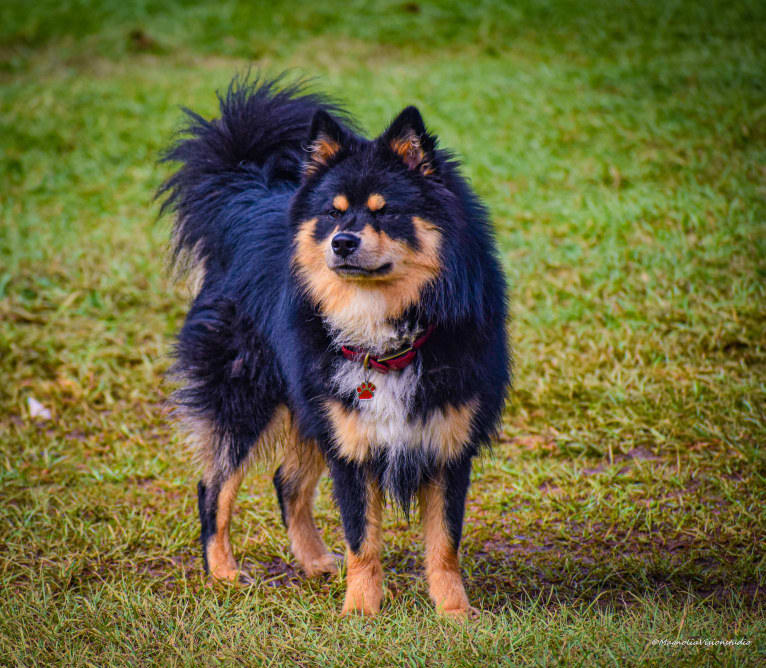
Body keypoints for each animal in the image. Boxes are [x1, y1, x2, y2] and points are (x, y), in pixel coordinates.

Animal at [160, 75, 510, 620]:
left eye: (386, 211)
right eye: (333, 213)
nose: (342, 242)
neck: (385, 332)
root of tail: (246, 201)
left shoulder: (446, 443)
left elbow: (444, 544)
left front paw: (454, 613)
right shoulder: (352, 445)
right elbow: (363, 540)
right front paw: (362, 613)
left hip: (308, 403)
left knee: (286, 480)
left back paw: (313, 561)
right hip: (246, 398)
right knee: (213, 486)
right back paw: (223, 572)